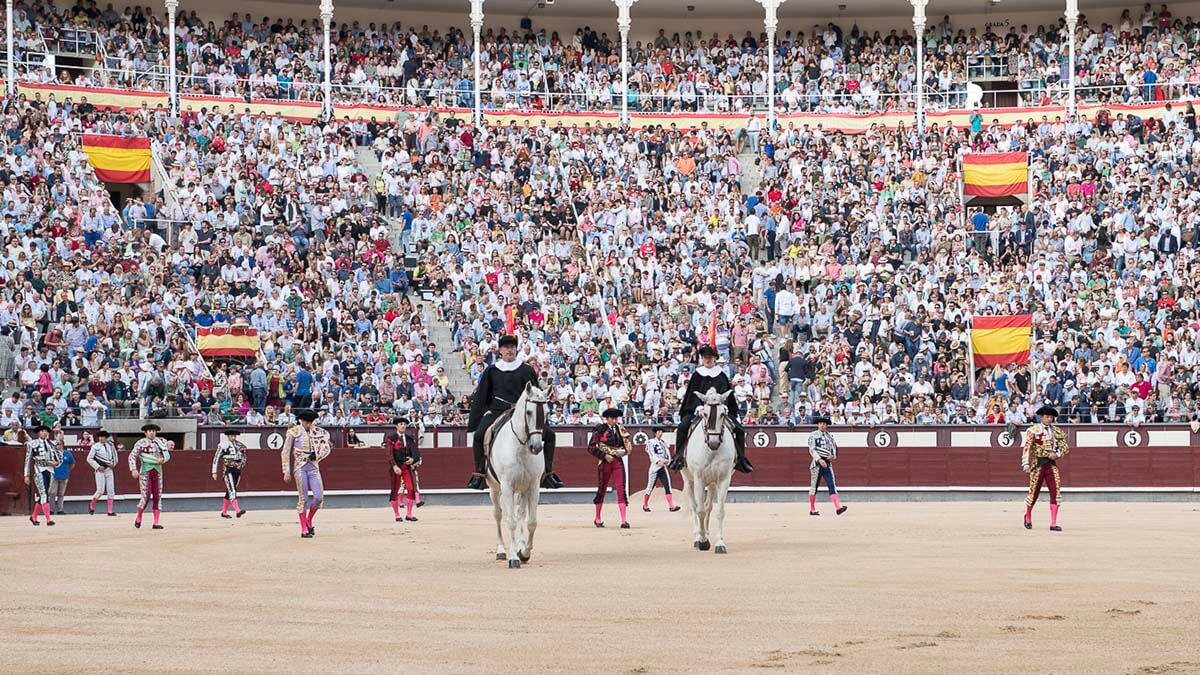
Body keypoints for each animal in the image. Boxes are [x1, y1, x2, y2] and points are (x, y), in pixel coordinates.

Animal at [484, 381, 547, 564]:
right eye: (529, 412)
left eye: (546, 412)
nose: (536, 447)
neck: (521, 448)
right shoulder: (507, 486)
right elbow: (510, 521)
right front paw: (513, 557)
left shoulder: (533, 486)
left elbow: (531, 522)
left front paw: (524, 553)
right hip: (494, 488)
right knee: (498, 514)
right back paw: (501, 551)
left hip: (522, 489)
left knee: (521, 514)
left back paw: (520, 546)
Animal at [681, 386, 734, 554]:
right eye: (704, 413)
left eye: (723, 413)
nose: (714, 442)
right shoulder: (698, 479)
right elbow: (700, 511)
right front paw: (703, 542)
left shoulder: (724, 479)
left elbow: (719, 511)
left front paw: (719, 544)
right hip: (688, 480)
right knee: (694, 507)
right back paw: (697, 536)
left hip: (711, 484)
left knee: (709, 506)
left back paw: (708, 533)